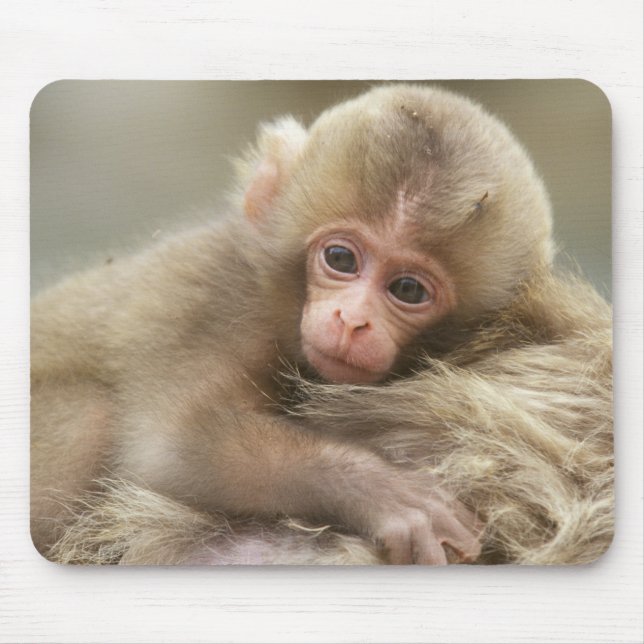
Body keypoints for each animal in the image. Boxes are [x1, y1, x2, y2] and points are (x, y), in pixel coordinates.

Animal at [31, 84, 613, 566]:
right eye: (340, 258)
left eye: (408, 290)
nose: (351, 320)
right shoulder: (216, 300)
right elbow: (172, 445)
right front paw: (385, 494)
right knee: (90, 419)